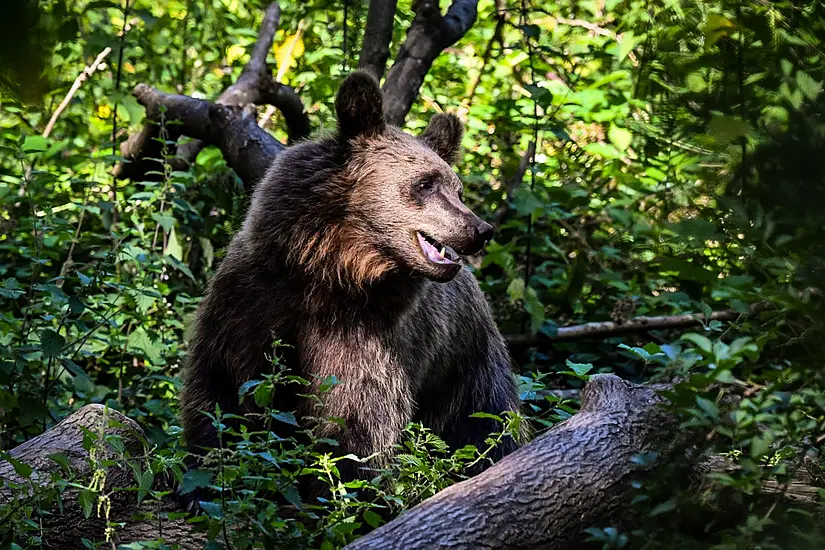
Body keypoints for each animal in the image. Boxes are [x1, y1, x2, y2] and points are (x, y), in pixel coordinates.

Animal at [181, 71, 520, 498]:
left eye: (456, 189)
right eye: (426, 183)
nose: (479, 229)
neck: (328, 272)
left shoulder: (363, 335)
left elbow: (355, 417)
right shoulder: (251, 301)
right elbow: (221, 387)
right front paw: (205, 476)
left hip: (465, 359)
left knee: (486, 421)